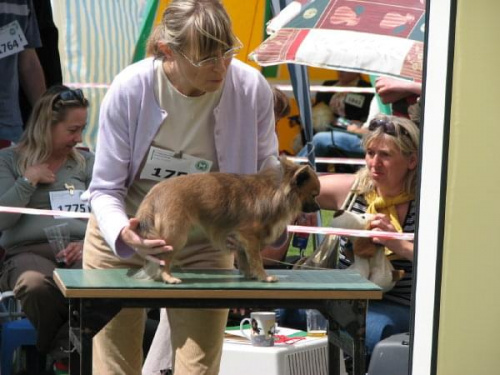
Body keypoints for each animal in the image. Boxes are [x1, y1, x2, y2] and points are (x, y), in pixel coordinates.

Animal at [135, 157, 318, 284]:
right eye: (314, 195)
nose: (317, 207)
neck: (277, 190)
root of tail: (154, 193)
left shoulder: (242, 241)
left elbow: (245, 259)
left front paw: (249, 274)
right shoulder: (250, 237)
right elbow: (256, 259)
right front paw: (263, 276)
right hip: (176, 237)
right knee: (163, 259)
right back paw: (168, 277)